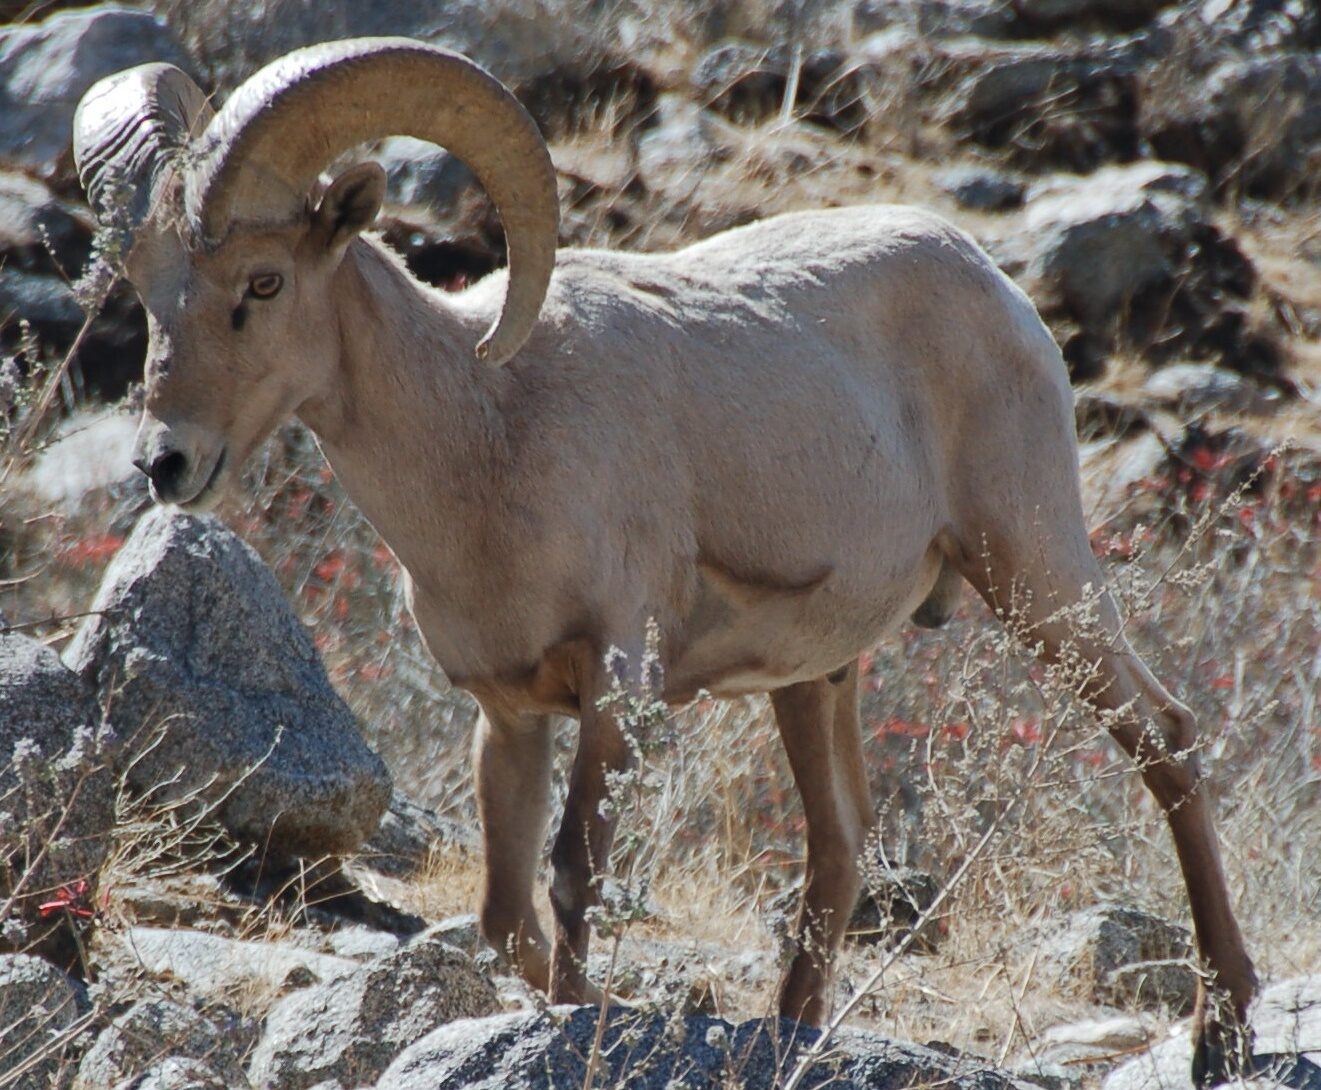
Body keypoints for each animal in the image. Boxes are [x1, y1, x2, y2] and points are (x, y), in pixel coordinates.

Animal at [74, 37, 1256, 1083]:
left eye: (264, 283)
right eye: (146, 286)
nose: (165, 462)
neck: (487, 436)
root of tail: (995, 287)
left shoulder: (615, 688)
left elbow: (572, 878)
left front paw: (579, 1023)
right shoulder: (508, 715)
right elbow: (505, 914)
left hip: (1035, 574)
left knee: (1165, 739)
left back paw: (1225, 1031)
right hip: (819, 679)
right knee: (838, 848)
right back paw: (795, 1038)